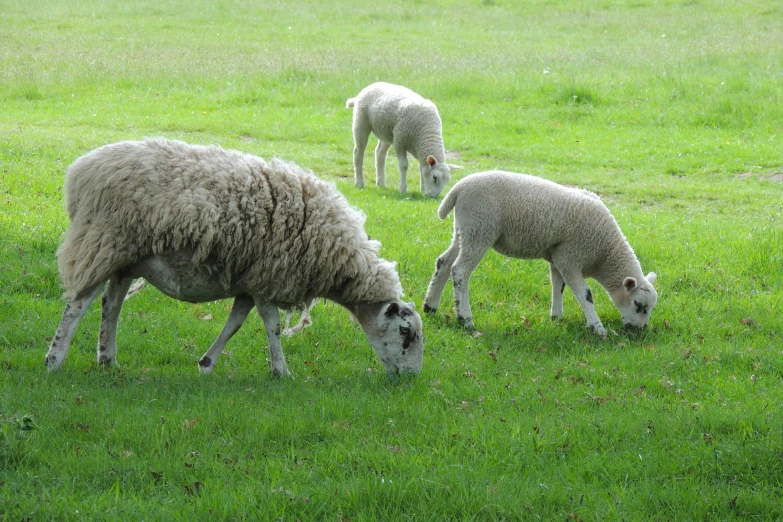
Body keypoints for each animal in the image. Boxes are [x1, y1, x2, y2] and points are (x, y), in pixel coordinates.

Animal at [46, 138, 426, 374]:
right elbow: (272, 325)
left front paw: (207, 363)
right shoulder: (269, 277)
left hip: (125, 258)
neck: (340, 260)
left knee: (111, 305)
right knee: (78, 303)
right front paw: (281, 371)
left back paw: (108, 359)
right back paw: (55, 359)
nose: (409, 378)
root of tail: (79, 171)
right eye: (406, 333)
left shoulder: (250, 281)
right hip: (102, 242)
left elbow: (235, 322)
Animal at [426, 171, 660, 334]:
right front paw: (597, 328)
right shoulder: (571, 258)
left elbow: (558, 286)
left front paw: (556, 317)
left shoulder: (558, 258)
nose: (639, 332)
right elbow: (585, 294)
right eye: (639, 305)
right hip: (480, 229)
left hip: (464, 230)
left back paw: (430, 306)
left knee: (444, 263)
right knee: (460, 270)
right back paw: (465, 319)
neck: (604, 254)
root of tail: (458, 188)